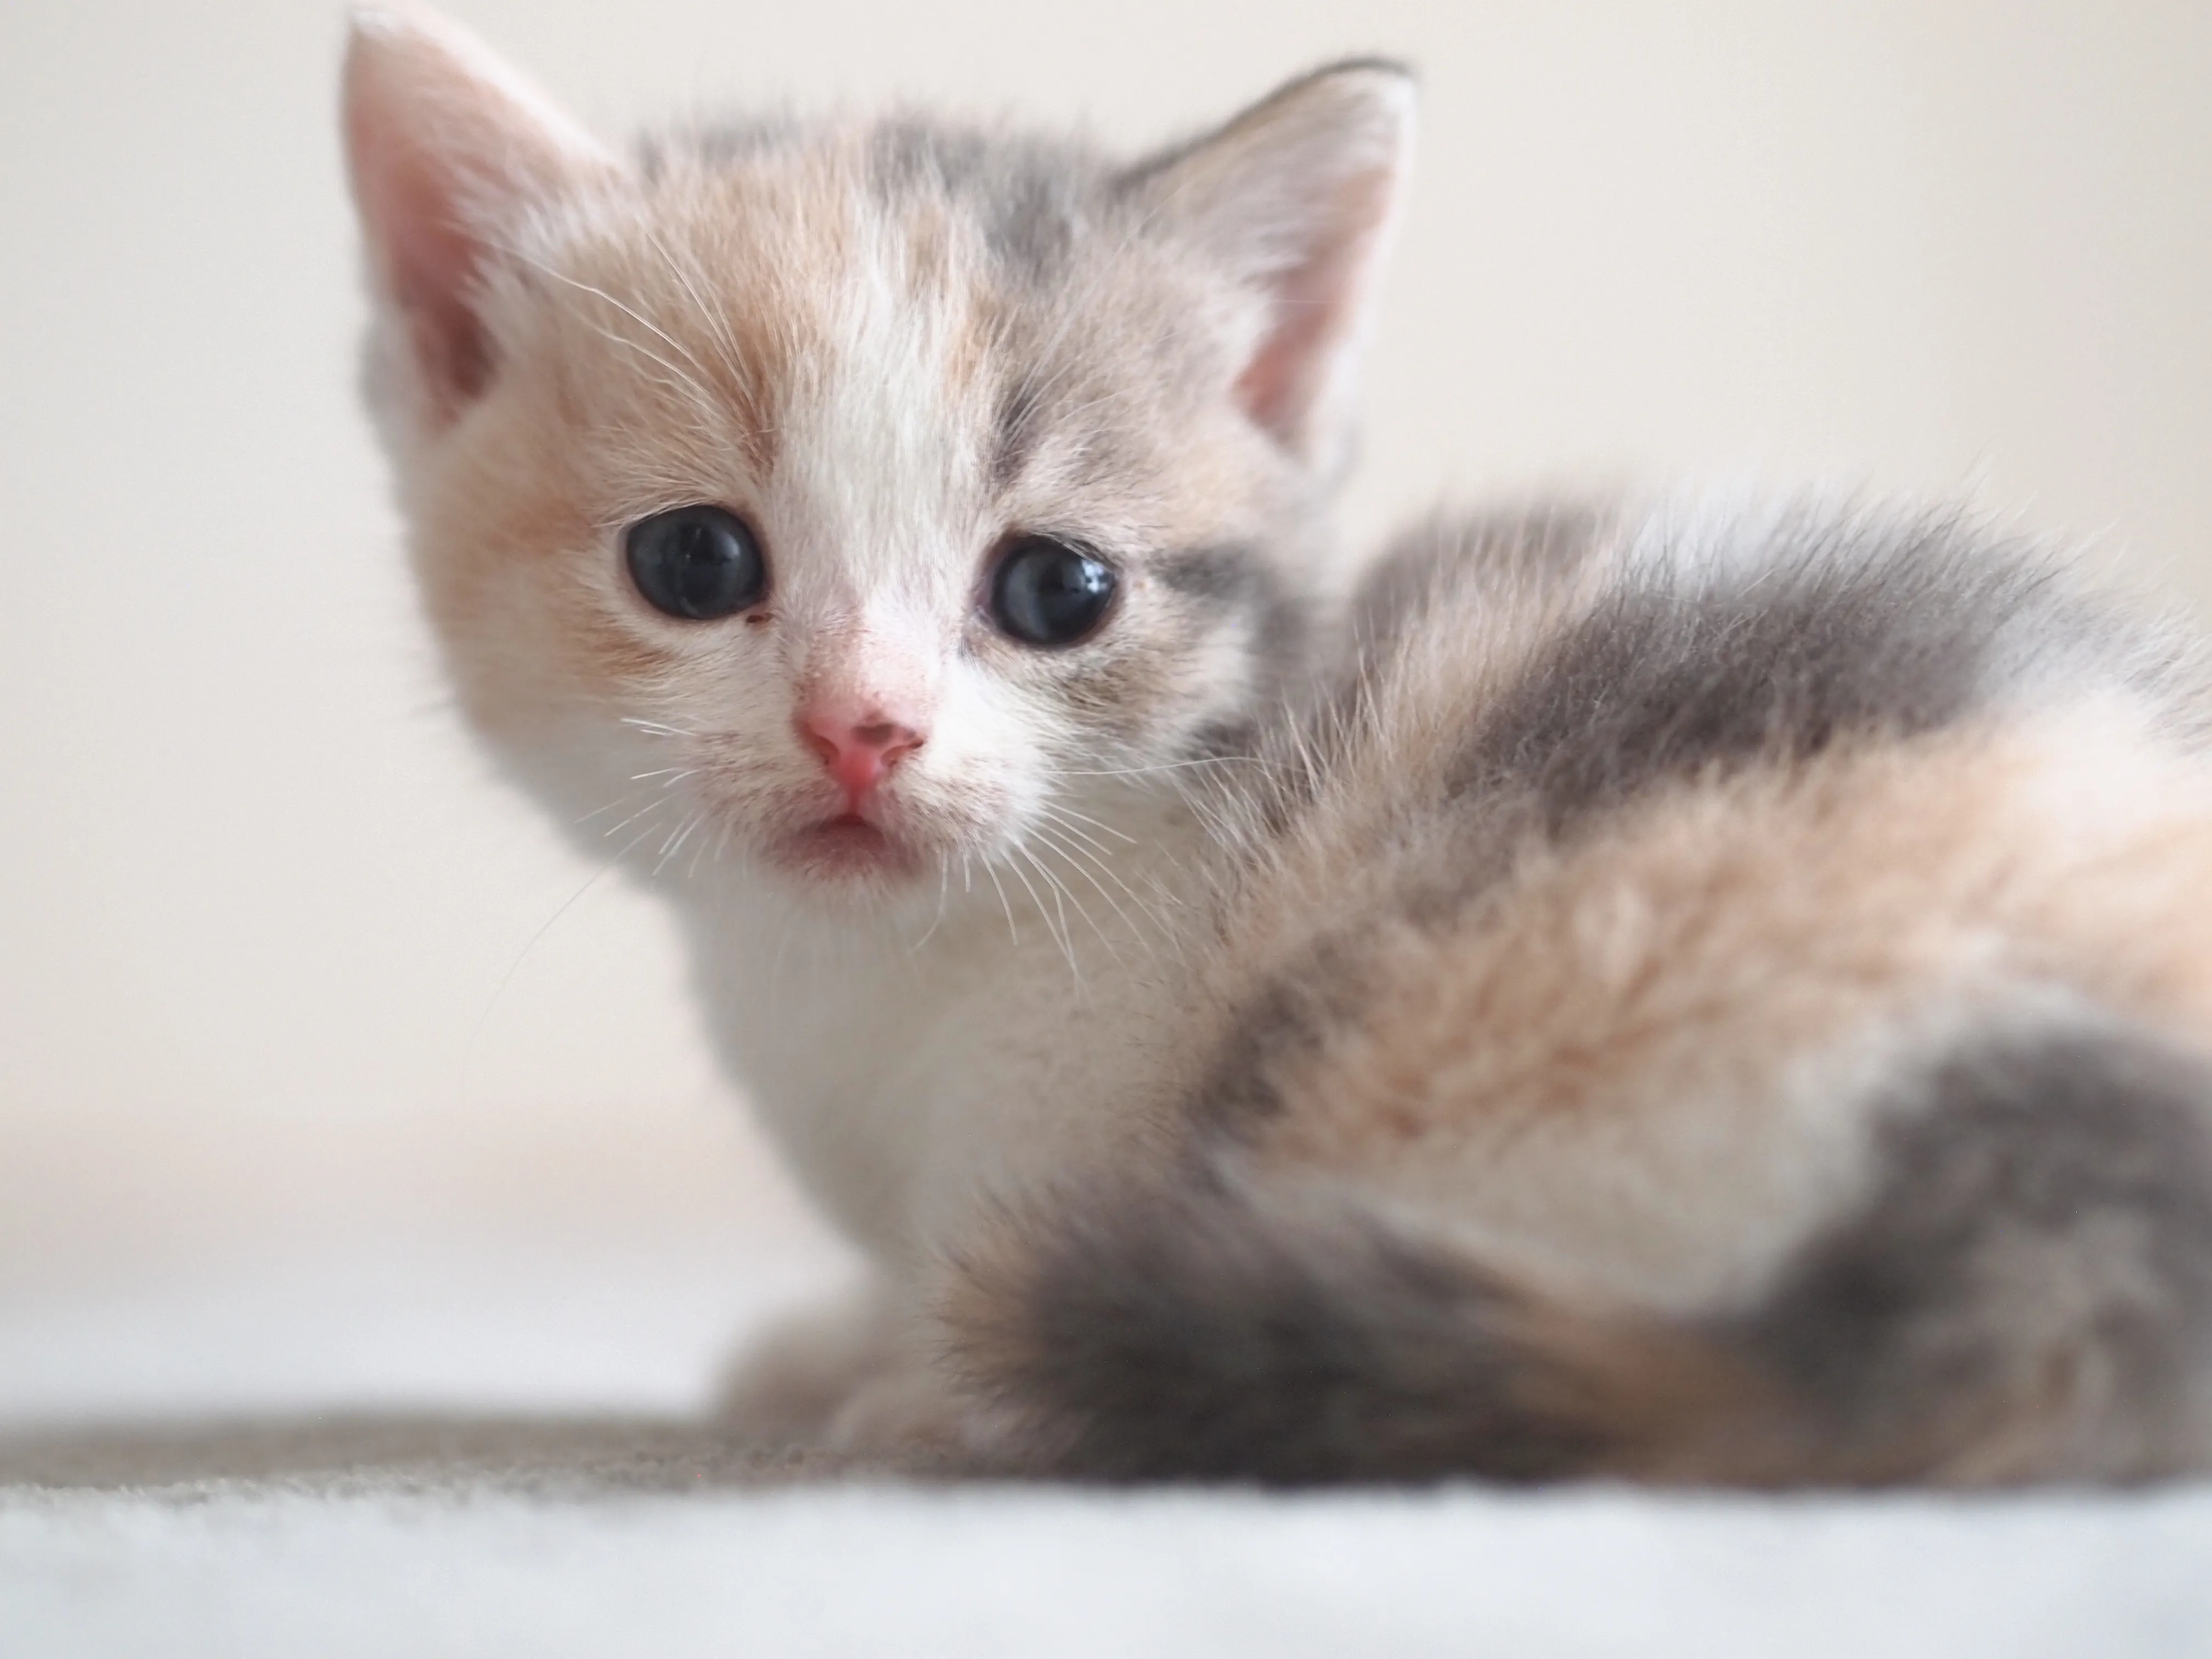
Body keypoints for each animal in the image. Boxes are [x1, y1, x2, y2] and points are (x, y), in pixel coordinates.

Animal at [340, 6, 2212, 1486]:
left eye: (1060, 590)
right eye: (696, 564)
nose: (863, 724)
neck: (866, 983)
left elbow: (978, 1249)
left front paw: (918, 1384)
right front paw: (828, 1339)